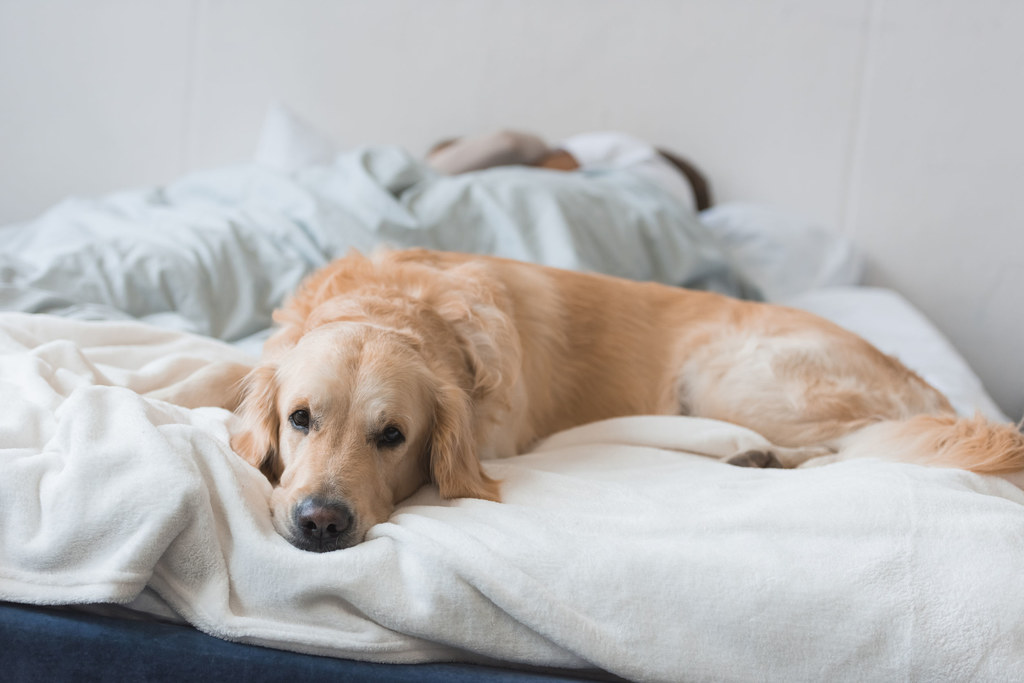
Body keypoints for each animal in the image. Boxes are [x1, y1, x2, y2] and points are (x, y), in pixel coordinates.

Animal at [232, 248, 1024, 552]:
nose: (321, 521)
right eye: (300, 418)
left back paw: (762, 457)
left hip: (728, 372)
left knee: (856, 446)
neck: (407, 307)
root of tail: (923, 383)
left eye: (392, 435)